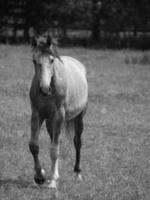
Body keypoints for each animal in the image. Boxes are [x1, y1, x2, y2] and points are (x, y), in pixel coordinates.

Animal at [28, 35, 88, 190]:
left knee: (77, 141)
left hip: (79, 117)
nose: (44, 88)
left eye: (52, 60)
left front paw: (53, 181)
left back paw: (77, 173)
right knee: (55, 140)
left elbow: (55, 149)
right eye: (34, 61)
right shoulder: (36, 115)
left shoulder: (59, 116)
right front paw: (40, 176)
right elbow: (34, 146)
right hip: (50, 121)